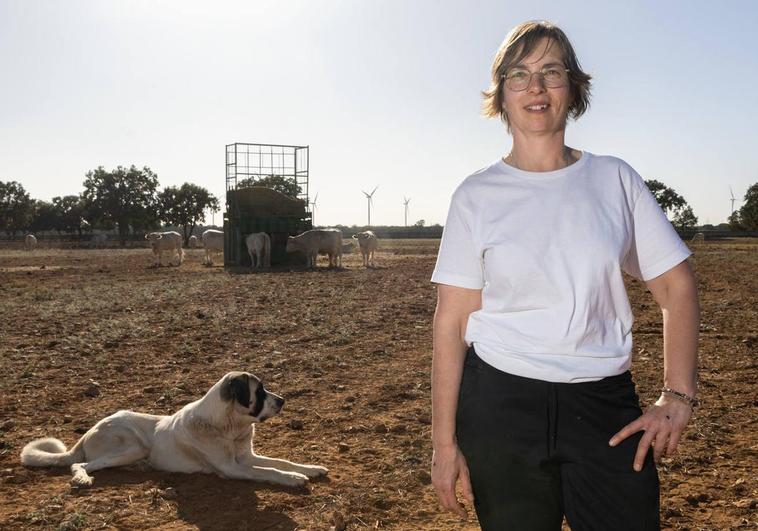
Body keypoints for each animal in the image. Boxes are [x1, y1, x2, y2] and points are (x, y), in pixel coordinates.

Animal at [20, 372, 330, 488]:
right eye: (260, 391)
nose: (283, 400)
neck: (229, 425)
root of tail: (88, 431)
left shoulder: (247, 458)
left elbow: (281, 461)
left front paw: (310, 468)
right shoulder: (232, 468)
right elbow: (271, 471)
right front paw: (293, 478)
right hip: (135, 445)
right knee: (82, 464)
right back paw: (82, 478)